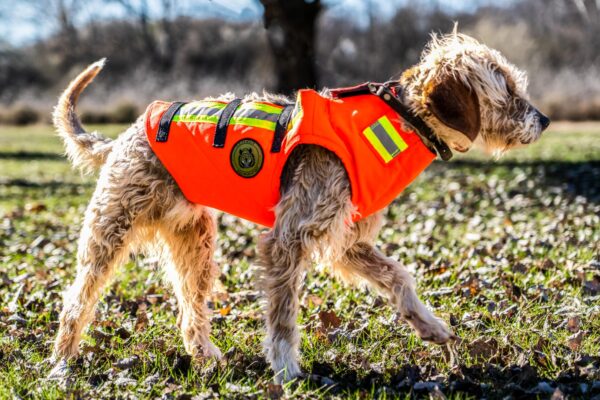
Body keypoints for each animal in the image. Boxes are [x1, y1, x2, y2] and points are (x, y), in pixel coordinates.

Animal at [49, 31, 552, 382]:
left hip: (197, 247)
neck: (404, 118)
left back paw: (206, 358)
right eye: (508, 87)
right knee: (77, 302)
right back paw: (60, 365)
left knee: (190, 311)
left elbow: (399, 278)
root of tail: (124, 136)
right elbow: (283, 317)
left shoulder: (346, 242)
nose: (545, 119)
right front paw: (287, 369)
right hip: (108, 235)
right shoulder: (287, 238)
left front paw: (429, 326)